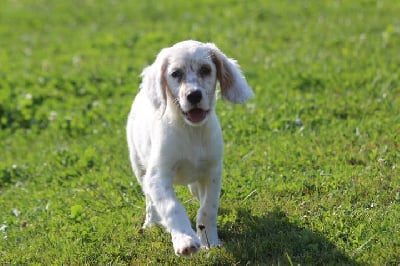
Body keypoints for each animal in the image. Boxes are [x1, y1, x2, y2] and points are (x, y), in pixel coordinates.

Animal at [126, 39, 255, 256]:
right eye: (175, 73)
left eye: (205, 69)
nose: (194, 95)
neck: (191, 131)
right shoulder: (158, 176)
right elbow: (172, 207)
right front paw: (185, 241)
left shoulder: (213, 171)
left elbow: (207, 209)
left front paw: (210, 241)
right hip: (140, 168)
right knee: (150, 200)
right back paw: (150, 224)